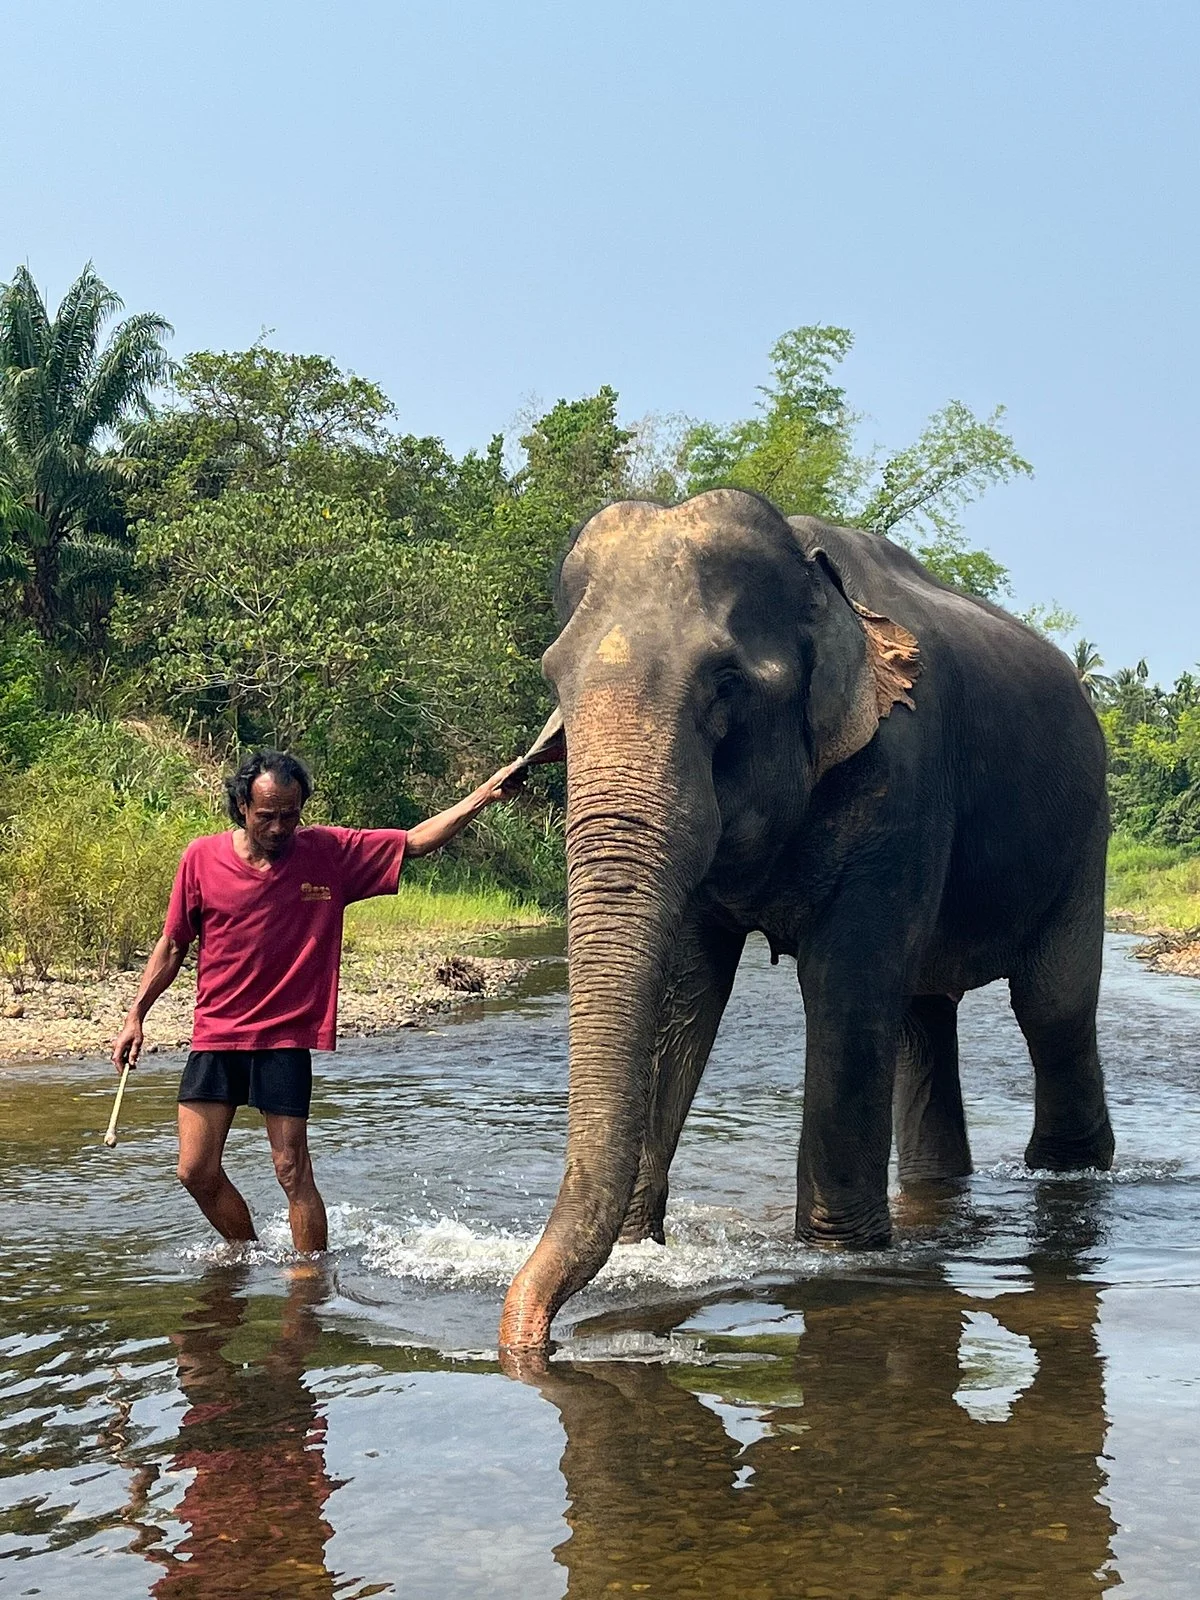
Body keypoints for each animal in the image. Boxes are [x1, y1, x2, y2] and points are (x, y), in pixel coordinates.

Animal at [500, 488, 1113, 1350]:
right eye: (554, 678)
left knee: (1051, 1006)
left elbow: (847, 992)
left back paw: (1070, 1176)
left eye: (725, 684)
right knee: (924, 1016)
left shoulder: (900, 775)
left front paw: (837, 1260)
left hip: (1087, 830)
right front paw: (640, 1253)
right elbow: (683, 992)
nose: (531, 1338)